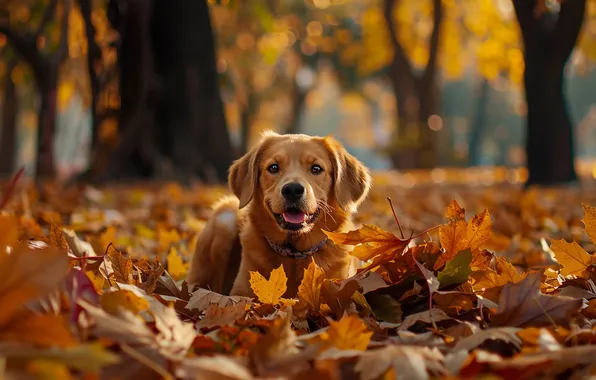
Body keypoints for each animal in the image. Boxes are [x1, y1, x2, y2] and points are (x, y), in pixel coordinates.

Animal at [187, 131, 372, 296]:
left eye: (316, 168)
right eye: (274, 167)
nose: (292, 190)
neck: (293, 254)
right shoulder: (240, 294)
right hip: (225, 219)